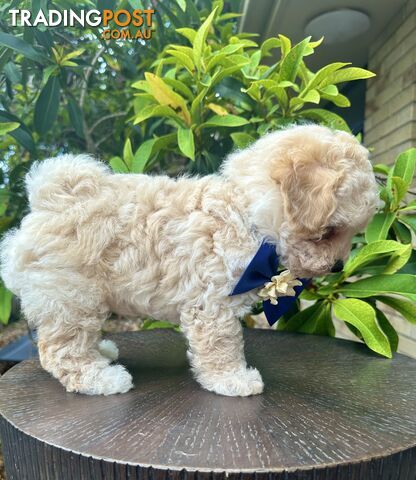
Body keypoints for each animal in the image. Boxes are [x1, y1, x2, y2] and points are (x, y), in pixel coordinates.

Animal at [0, 124, 378, 398]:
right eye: (328, 232)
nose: (337, 267)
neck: (246, 213)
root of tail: (51, 200)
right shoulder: (212, 305)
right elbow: (221, 346)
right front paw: (233, 380)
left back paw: (103, 352)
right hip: (72, 297)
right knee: (62, 350)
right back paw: (101, 379)